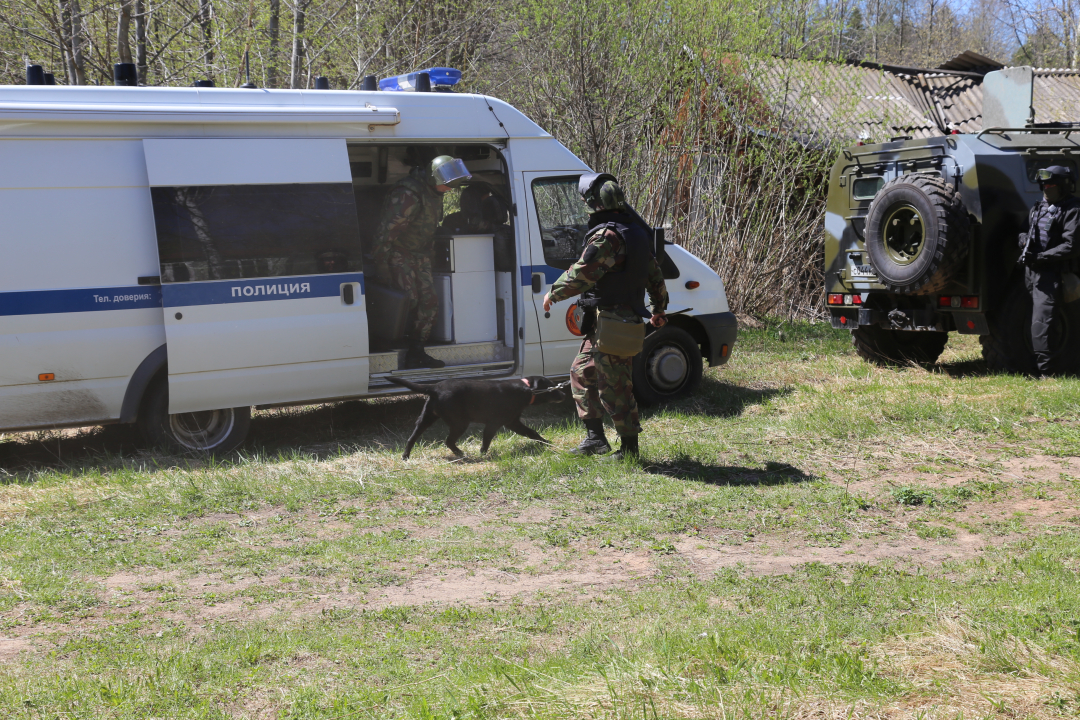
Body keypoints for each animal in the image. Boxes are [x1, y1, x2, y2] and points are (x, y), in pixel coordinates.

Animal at [386, 375, 570, 459]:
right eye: (551, 387)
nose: (563, 394)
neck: (525, 388)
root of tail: (434, 388)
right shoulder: (494, 423)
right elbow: (486, 439)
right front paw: (483, 454)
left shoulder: (513, 422)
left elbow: (532, 432)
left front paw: (546, 442)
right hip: (460, 422)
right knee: (448, 441)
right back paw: (461, 453)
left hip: (426, 417)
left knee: (412, 437)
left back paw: (405, 456)